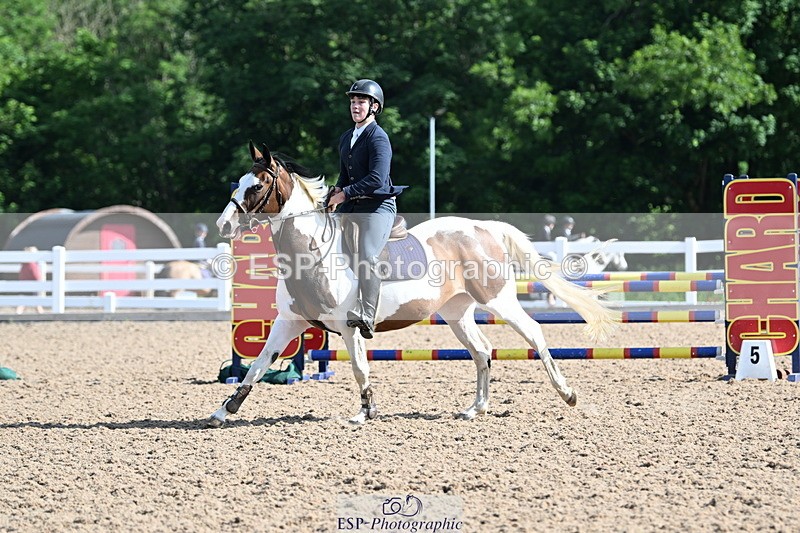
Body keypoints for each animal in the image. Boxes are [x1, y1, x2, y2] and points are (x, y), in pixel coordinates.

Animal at [206, 141, 618, 428]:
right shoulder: (288, 322)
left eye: (257, 186)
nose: (223, 225)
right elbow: (257, 365)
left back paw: (567, 394)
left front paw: (365, 412)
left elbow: (359, 368)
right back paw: (475, 408)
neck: (311, 250)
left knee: (533, 333)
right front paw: (224, 411)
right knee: (481, 350)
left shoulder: (349, 327)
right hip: (456, 313)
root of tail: (485, 227)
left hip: (499, 301)